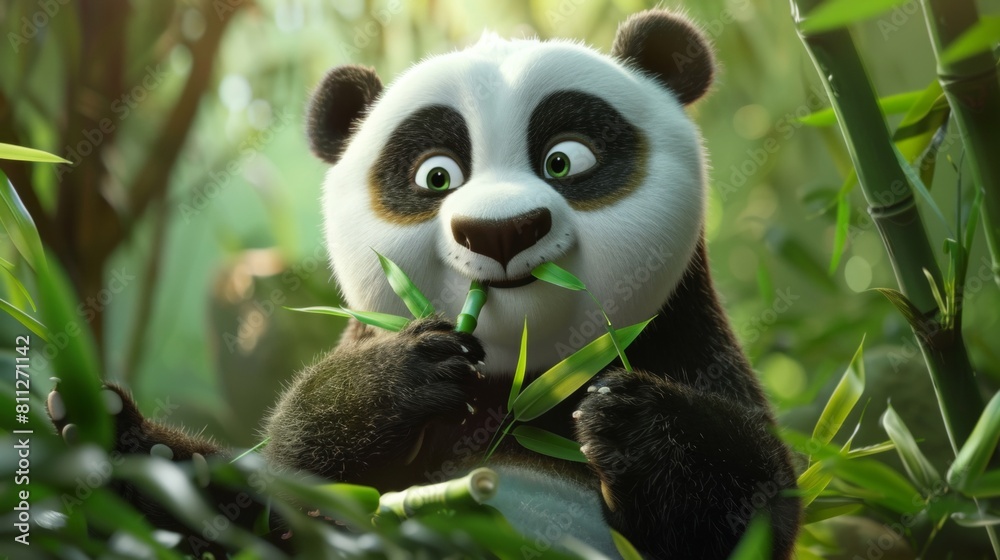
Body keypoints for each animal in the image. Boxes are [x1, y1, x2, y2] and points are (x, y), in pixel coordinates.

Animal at [48, 8, 800, 559]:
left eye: (565, 160)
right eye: (436, 175)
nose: (500, 232)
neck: (518, 382)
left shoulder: (685, 340)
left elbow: (756, 507)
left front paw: (625, 416)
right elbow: (299, 480)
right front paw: (406, 377)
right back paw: (115, 434)